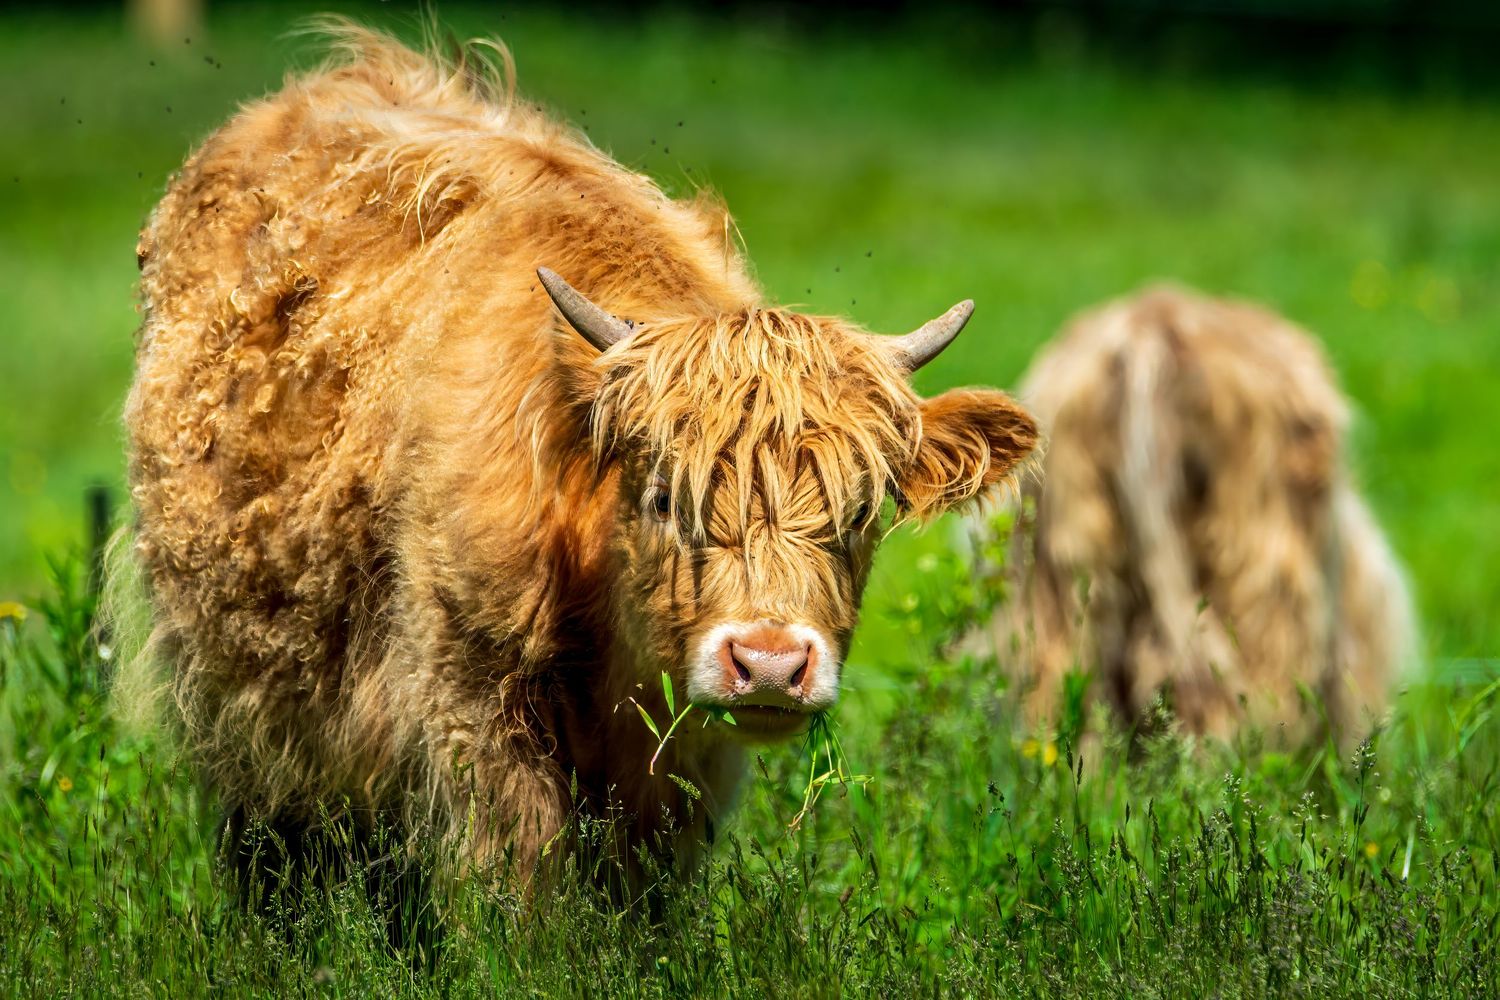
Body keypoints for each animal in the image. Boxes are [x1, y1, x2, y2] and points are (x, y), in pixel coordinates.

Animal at [119, 23, 1038, 887]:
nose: (772, 665)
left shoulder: (680, 769)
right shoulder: (475, 711)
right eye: (664, 498)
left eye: (860, 513)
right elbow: (521, 888)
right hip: (236, 690)